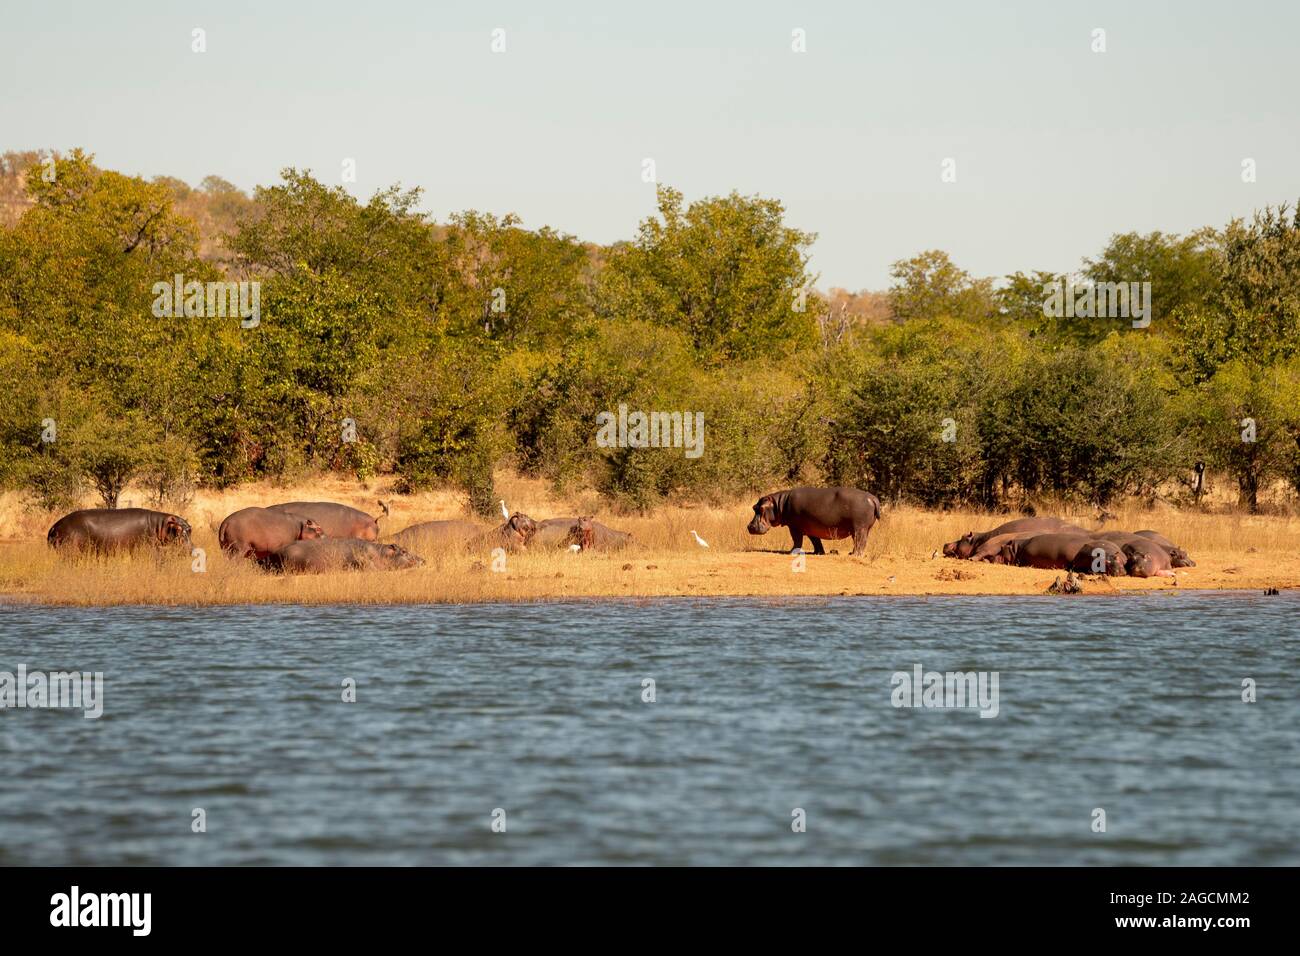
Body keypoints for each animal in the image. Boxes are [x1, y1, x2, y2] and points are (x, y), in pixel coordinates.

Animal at [748, 486, 878, 554]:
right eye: (754, 507)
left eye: (761, 508)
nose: (750, 526)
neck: (779, 504)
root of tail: (872, 498)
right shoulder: (810, 527)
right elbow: (816, 541)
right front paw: (818, 552)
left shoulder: (794, 527)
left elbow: (797, 540)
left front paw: (791, 552)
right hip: (865, 528)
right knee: (862, 541)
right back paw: (853, 553)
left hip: (859, 528)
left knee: (860, 541)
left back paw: (854, 554)